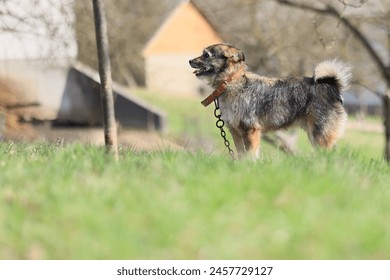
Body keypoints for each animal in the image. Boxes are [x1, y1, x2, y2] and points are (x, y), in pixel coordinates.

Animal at [188, 42, 350, 159]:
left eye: (206, 55)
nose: (189, 60)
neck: (232, 82)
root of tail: (332, 85)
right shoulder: (235, 131)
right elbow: (241, 153)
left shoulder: (250, 130)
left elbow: (251, 154)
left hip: (320, 135)